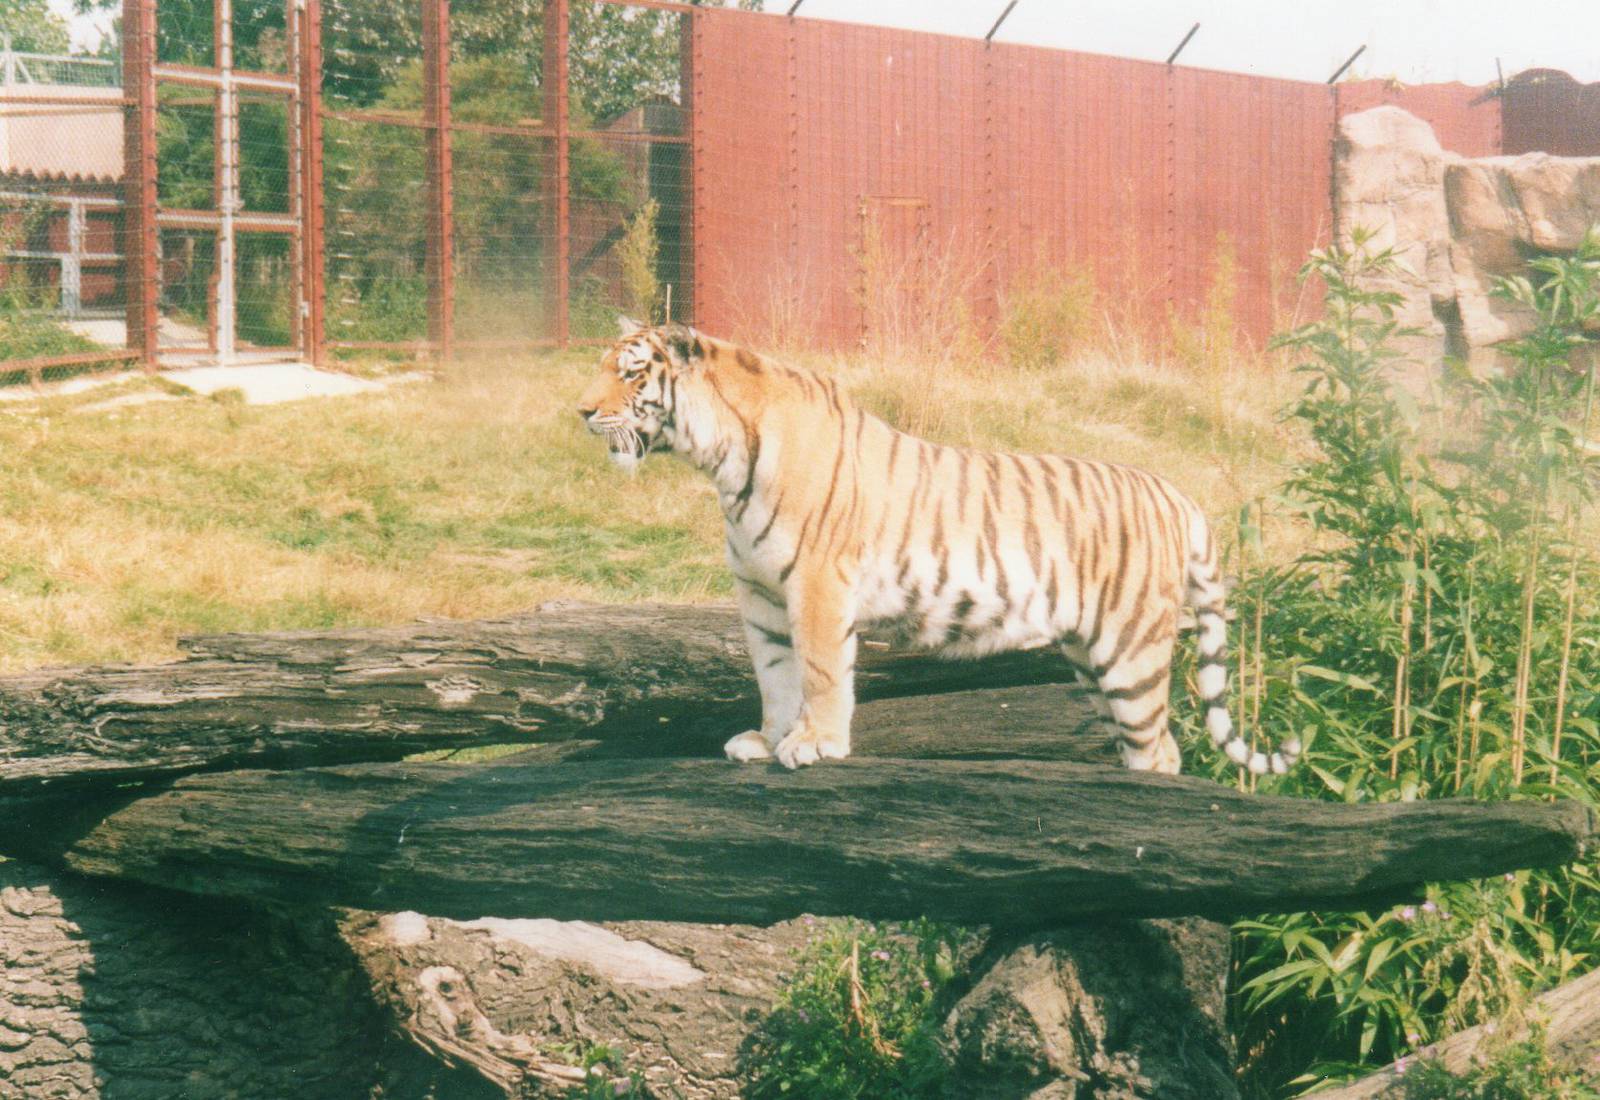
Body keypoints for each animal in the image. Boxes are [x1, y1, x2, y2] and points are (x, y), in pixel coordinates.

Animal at [577, 320, 1301, 777]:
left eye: (631, 373)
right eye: (603, 369)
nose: (582, 411)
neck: (721, 463)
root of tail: (1175, 493)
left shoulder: (816, 583)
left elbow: (819, 672)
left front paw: (815, 744)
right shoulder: (759, 595)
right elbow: (776, 675)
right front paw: (769, 738)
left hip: (1131, 649)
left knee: (1161, 750)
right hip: (1090, 657)